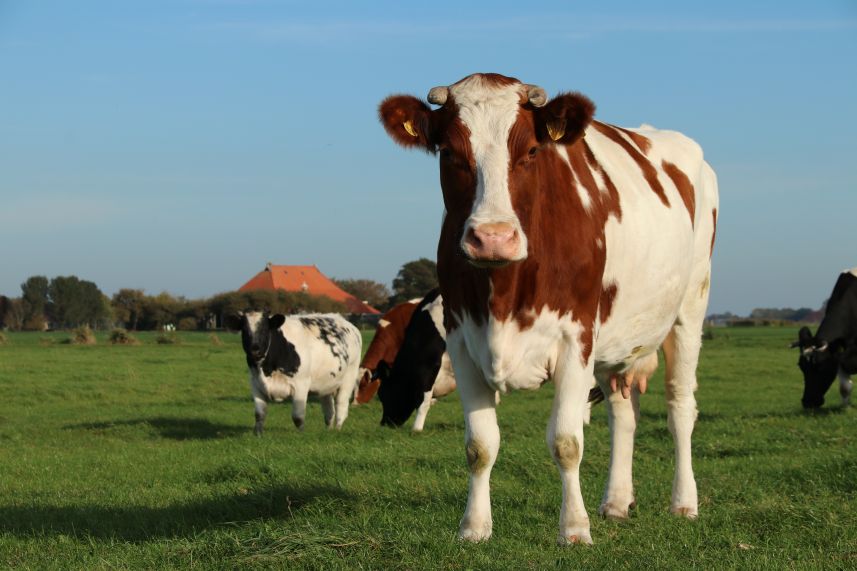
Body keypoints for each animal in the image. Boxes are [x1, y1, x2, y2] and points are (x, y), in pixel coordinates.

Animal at [788, 270, 856, 408]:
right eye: (801, 366)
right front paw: (846, 407)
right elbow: (844, 387)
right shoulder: (839, 352)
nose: (808, 402)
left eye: (820, 366)